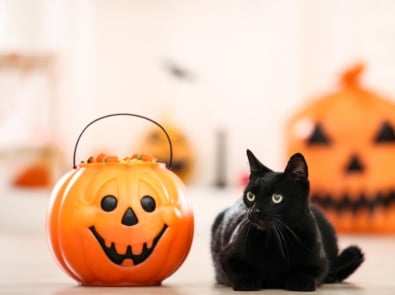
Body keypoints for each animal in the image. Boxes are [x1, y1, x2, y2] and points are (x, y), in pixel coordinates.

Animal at [210, 150, 366, 292]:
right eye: (250, 196)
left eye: (277, 197)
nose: (254, 212)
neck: (274, 240)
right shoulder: (226, 256)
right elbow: (238, 269)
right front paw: (246, 281)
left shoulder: (320, 262)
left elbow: (308, 271)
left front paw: (300, 282)